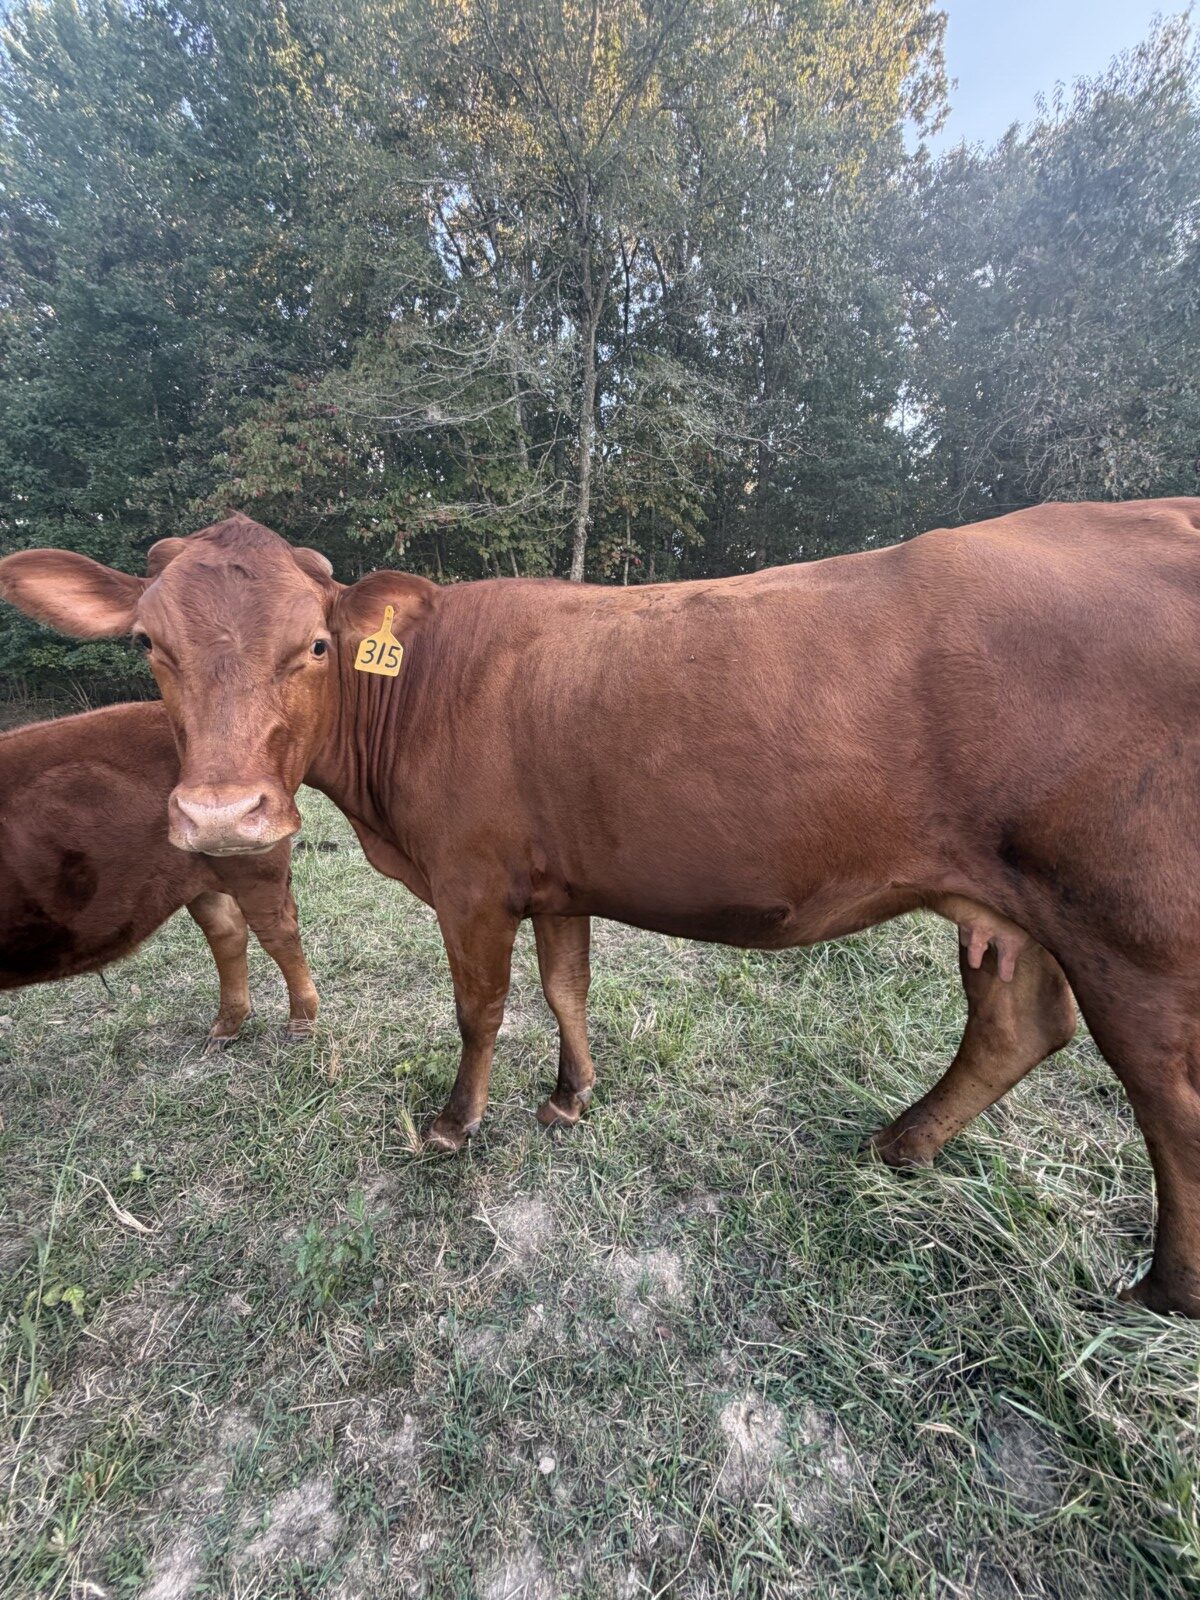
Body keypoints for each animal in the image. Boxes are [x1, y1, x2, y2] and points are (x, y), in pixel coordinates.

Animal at [0, 700, 318, 1043]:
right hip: (199, 877)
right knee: (226, 930)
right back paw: (224, 1030)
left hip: (256, 868)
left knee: (278, 931)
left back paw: (300, 1025)